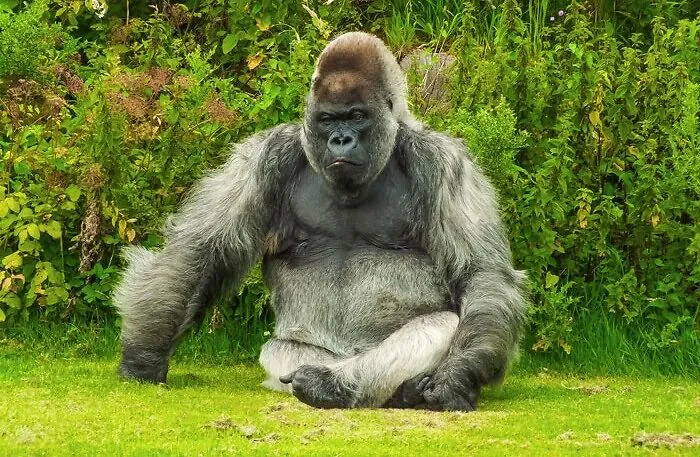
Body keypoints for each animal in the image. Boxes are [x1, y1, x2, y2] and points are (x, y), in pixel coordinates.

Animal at [114, 32, 527, 411]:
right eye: (328, 120)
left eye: (357, 116)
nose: (341, 140)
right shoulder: (263, 157)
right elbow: (199, 251)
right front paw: (144, 355)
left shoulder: (445, 162)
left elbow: (481, 274)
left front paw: (458, 375)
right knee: (281, 350)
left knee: (442, 325)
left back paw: (339, 385)